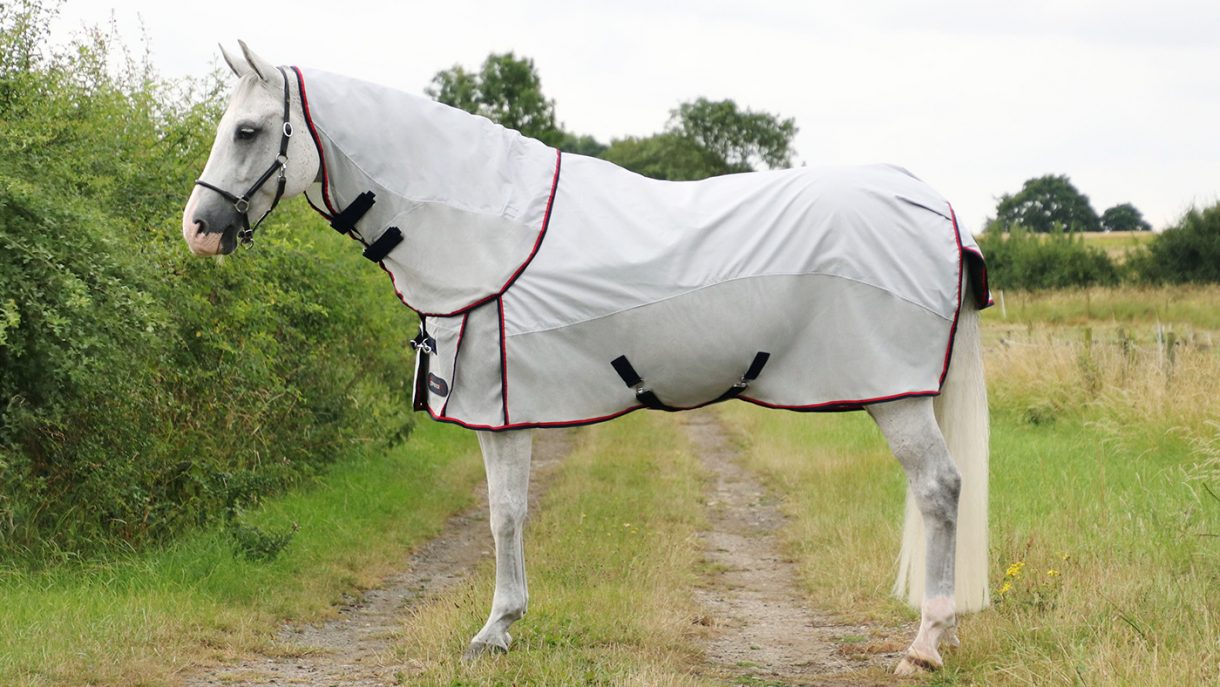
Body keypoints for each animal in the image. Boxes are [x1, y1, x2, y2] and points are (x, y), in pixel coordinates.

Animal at [182, 41, 992, 675]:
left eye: (249, 130)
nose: (199, 229)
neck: (485, 228)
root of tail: (940, 209)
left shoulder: (501, 412)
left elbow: (504, 516)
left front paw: (493, 630)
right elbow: (505, 513)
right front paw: (502, 627)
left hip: (896, 394)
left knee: (939, 490)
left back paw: (926, 644)